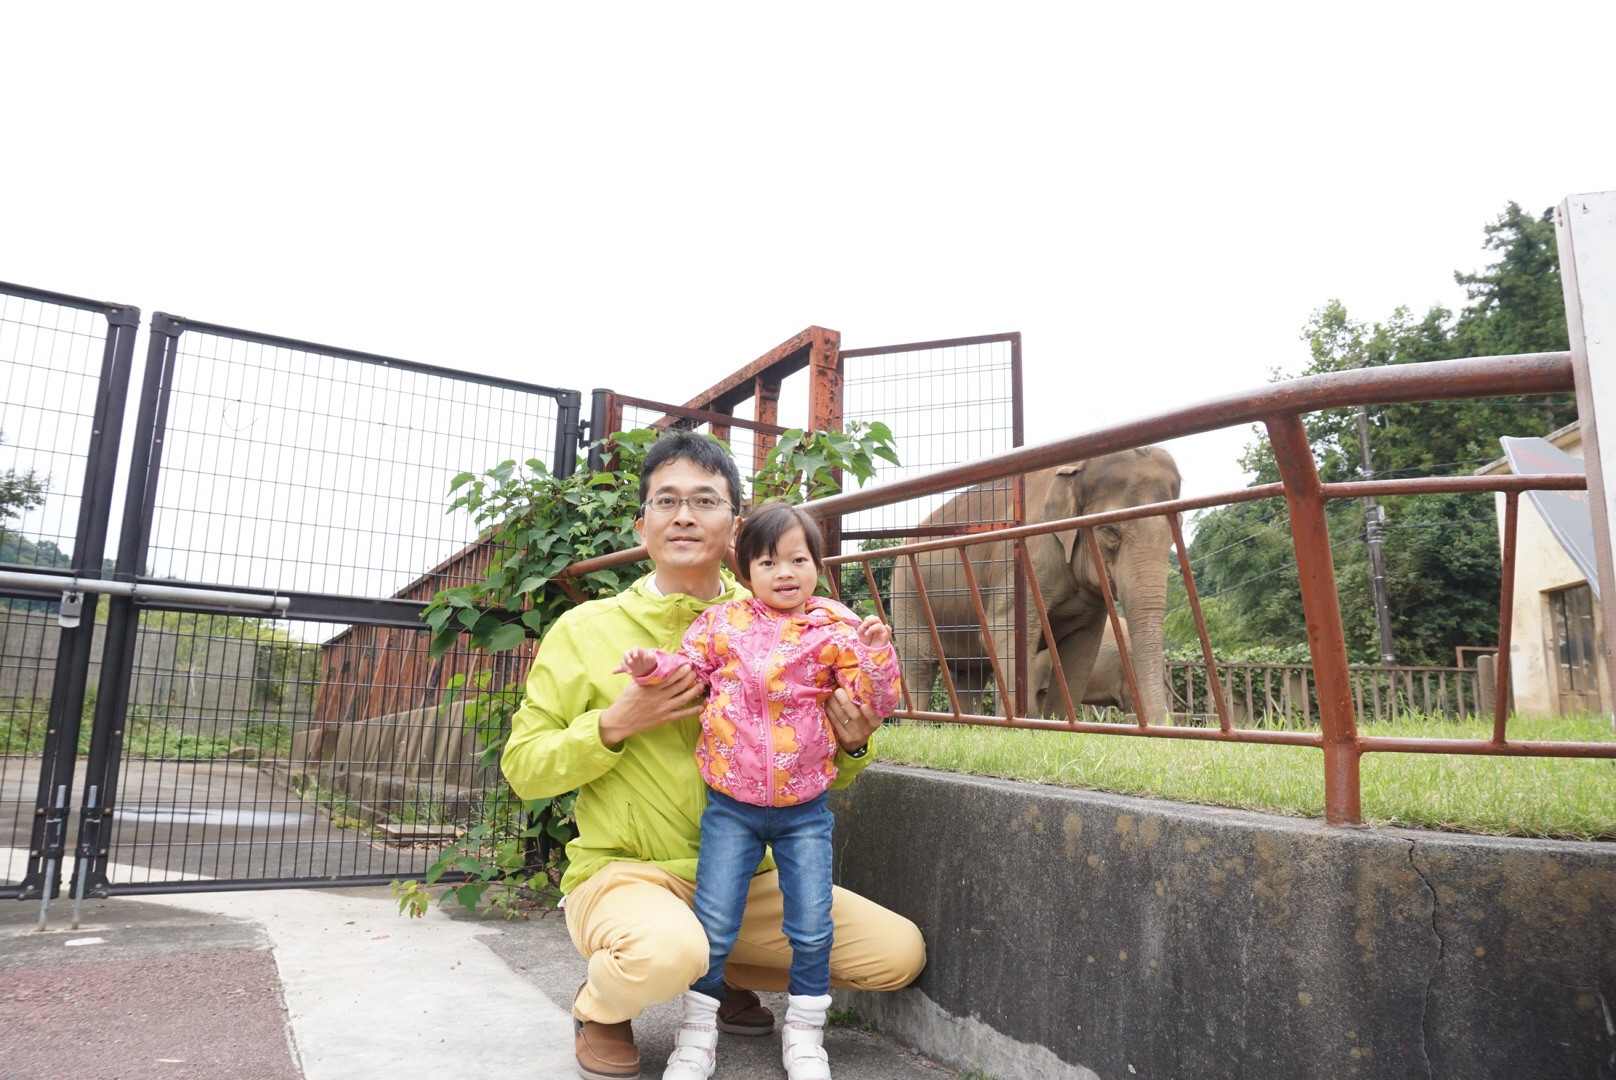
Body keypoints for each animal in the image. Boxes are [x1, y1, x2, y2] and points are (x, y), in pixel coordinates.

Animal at [888, 446, 1181, 724]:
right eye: (1109, 530)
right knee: (920, 667)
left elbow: (1081, 652)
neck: (1076, 466)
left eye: (1174, 533)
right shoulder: (1021, 558)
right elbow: (1008, 633)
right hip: (906, 592)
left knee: (970, 674)